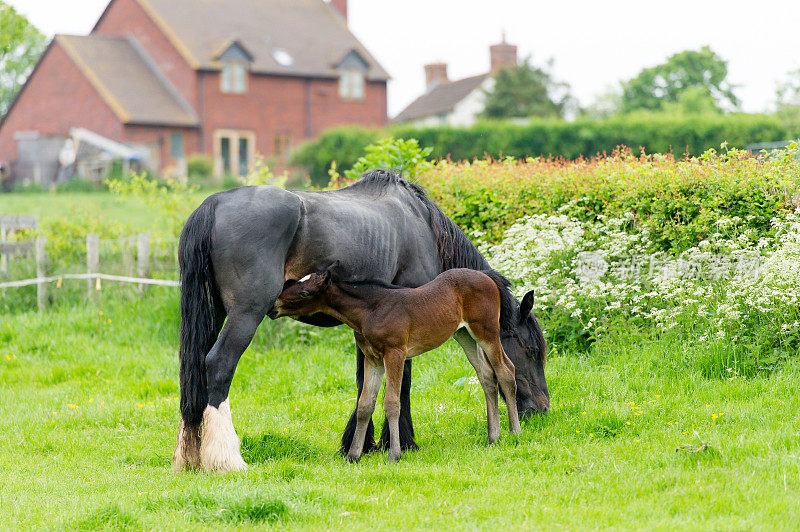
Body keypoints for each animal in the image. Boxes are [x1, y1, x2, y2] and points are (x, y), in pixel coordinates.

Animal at [272, 264, 520, 464]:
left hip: (487, 331)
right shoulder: (373, 359)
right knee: (487, 376)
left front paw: (394, 454)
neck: (371, 310)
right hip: (464, 335)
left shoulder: (395, 354)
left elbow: (391, 402)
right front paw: (353, 455)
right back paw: (493, 437)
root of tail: (487, 276)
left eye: (304, 292)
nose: (273, 307)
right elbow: (364, 404)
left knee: (506, 370)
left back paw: (514, 432)